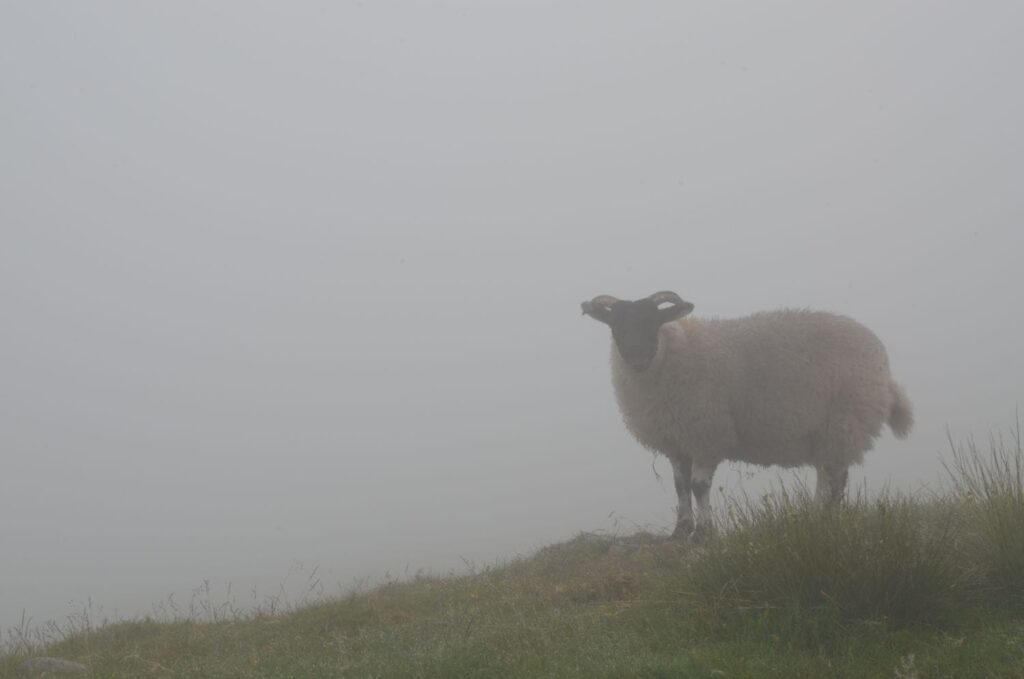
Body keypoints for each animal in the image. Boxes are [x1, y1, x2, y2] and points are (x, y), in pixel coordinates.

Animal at [581, 291, 913, 538]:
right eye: (616, 326)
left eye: (654, 322)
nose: (636, 358)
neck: (673, 355)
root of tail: (882, 364)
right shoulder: (676, 440)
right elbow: (680, 486)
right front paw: (680, 532)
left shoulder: (707, 434)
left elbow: (699, 486)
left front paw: (705, 533)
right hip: (827, 433)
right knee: (828, 474)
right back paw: (816, 516)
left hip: (845, 423)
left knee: (836, 479)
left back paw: (825, 518)